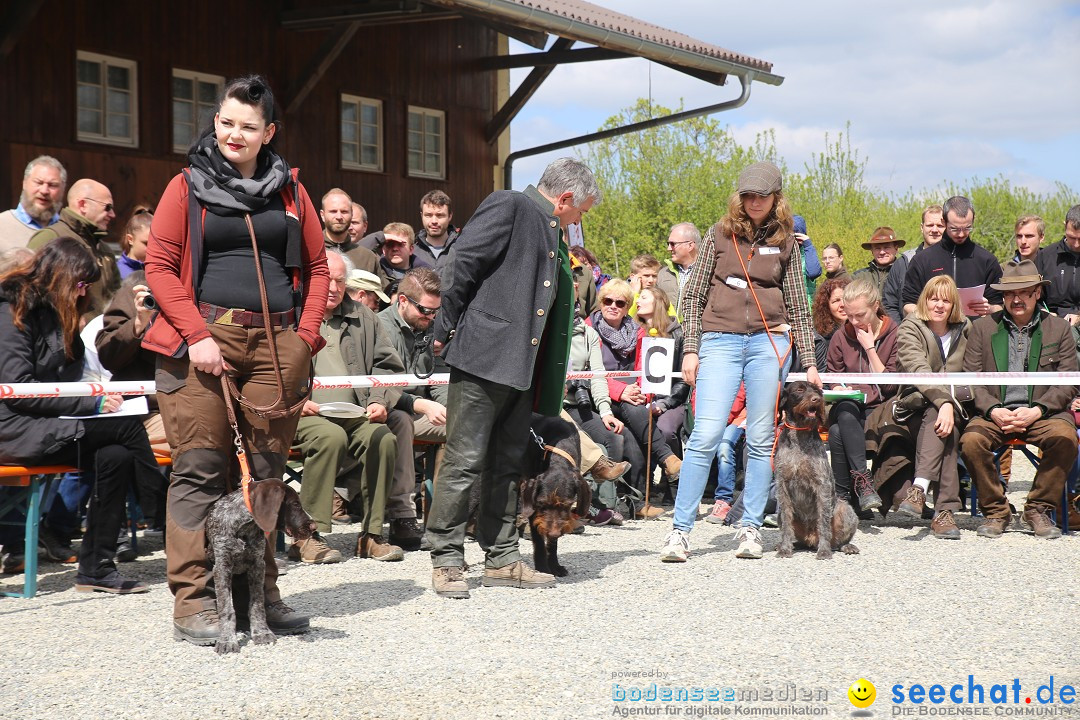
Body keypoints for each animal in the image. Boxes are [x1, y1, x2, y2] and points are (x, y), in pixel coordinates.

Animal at [205, 481, 315, 656]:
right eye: (296, 504)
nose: (314, 527)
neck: (243, 528)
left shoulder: (257, 565)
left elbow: (256, 605)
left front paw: (261, 632)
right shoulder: (222, 567)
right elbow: (226, 608)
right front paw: (227, 640)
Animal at [520, 414, 596, 578]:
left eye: (567, 505)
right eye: (541, 504)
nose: (554, 533)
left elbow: (553, 543)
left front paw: (555, 566)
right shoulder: (534, 508)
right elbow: (539, 542)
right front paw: (543, 567)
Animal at [777, 379, 859, 561]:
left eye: (816, 390)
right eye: (800, 390)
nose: (816, 399)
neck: (799, 438)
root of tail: (811, 539)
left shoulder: (822, 485)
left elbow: (823, 522)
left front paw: (824, 550)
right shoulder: (782, 485)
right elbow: (786, 522)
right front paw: (784, 548)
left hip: (845, 509)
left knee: (839, 540)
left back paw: (845, 546)